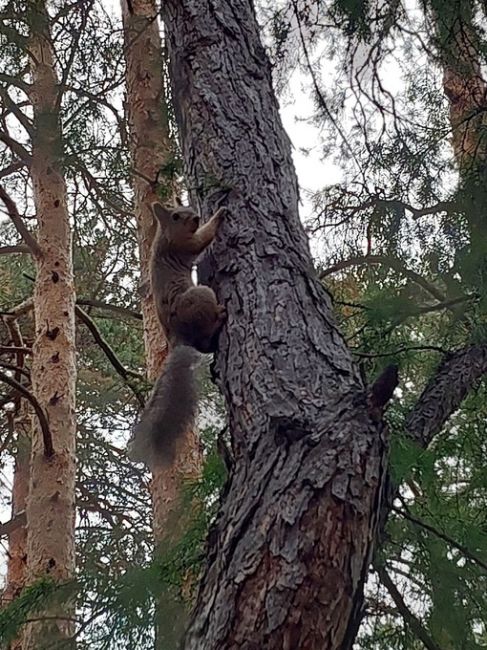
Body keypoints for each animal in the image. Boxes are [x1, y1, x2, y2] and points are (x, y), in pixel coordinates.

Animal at [127, 199, 227, 466]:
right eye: (175, 216)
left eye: (190, 211)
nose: (195, 218)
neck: (163, 236)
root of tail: (179, 340)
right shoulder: (184, 245)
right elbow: (202, 239)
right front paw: (219, 215)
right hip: (199, 296)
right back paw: (220, 316)